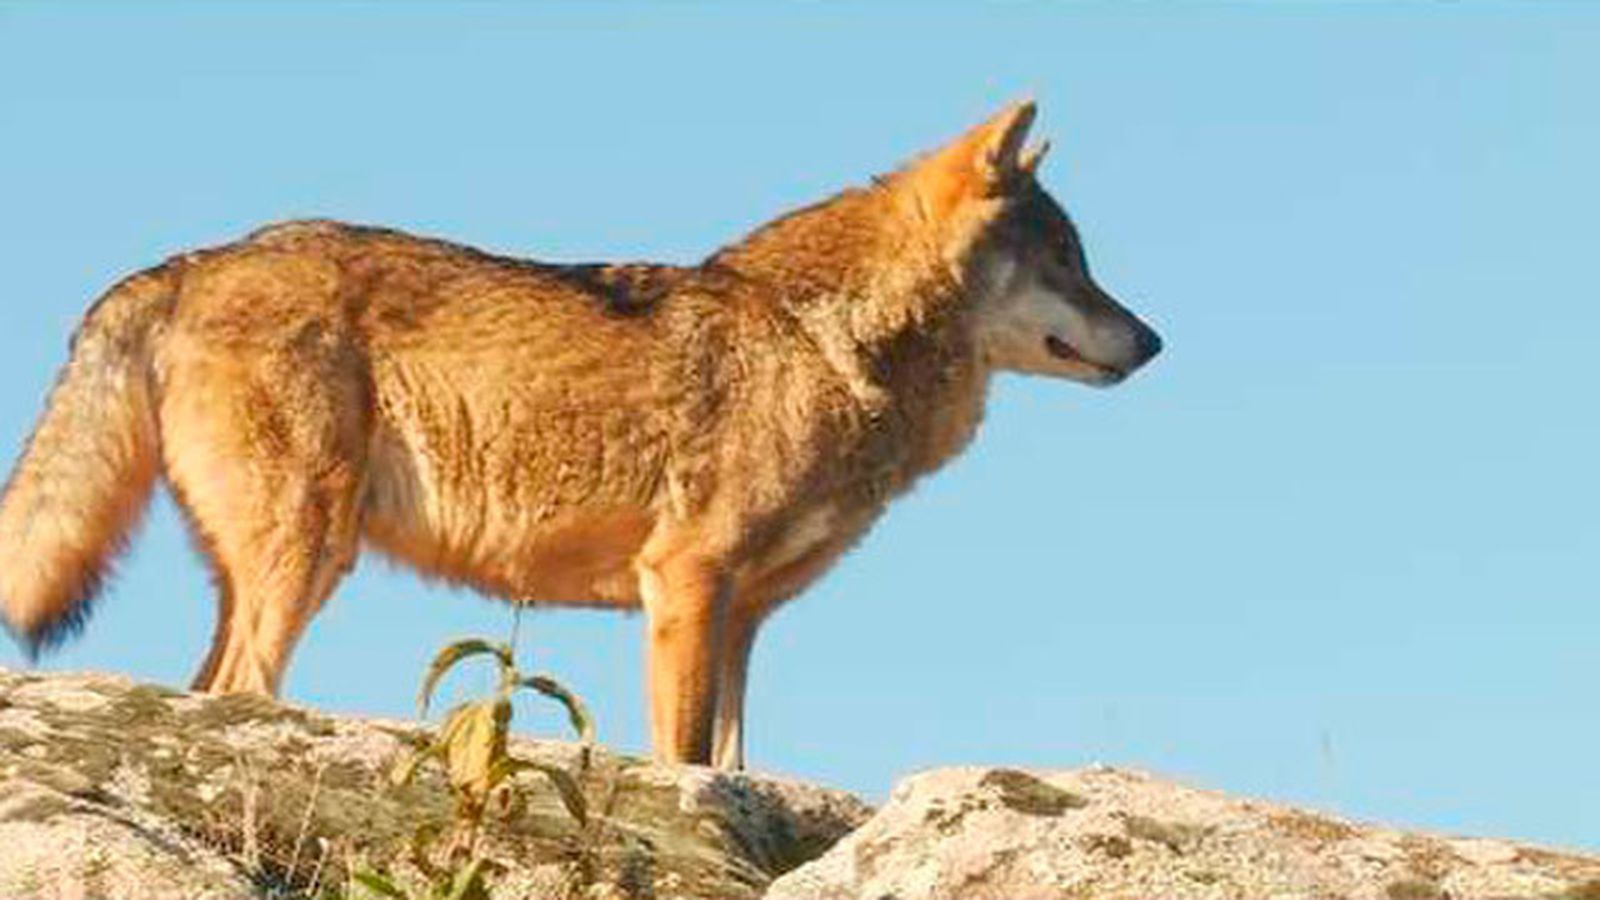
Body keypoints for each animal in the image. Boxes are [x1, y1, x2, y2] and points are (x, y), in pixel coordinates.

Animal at [0, 101, 1159, 768]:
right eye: (1066, 261)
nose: (1153, 341)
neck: (826, 346)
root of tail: (191, 260)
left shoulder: (742, 618)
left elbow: (730, 763)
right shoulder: (685, 584)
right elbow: (681, 758)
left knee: (200, 693)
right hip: (306, 556)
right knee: (240, 694)